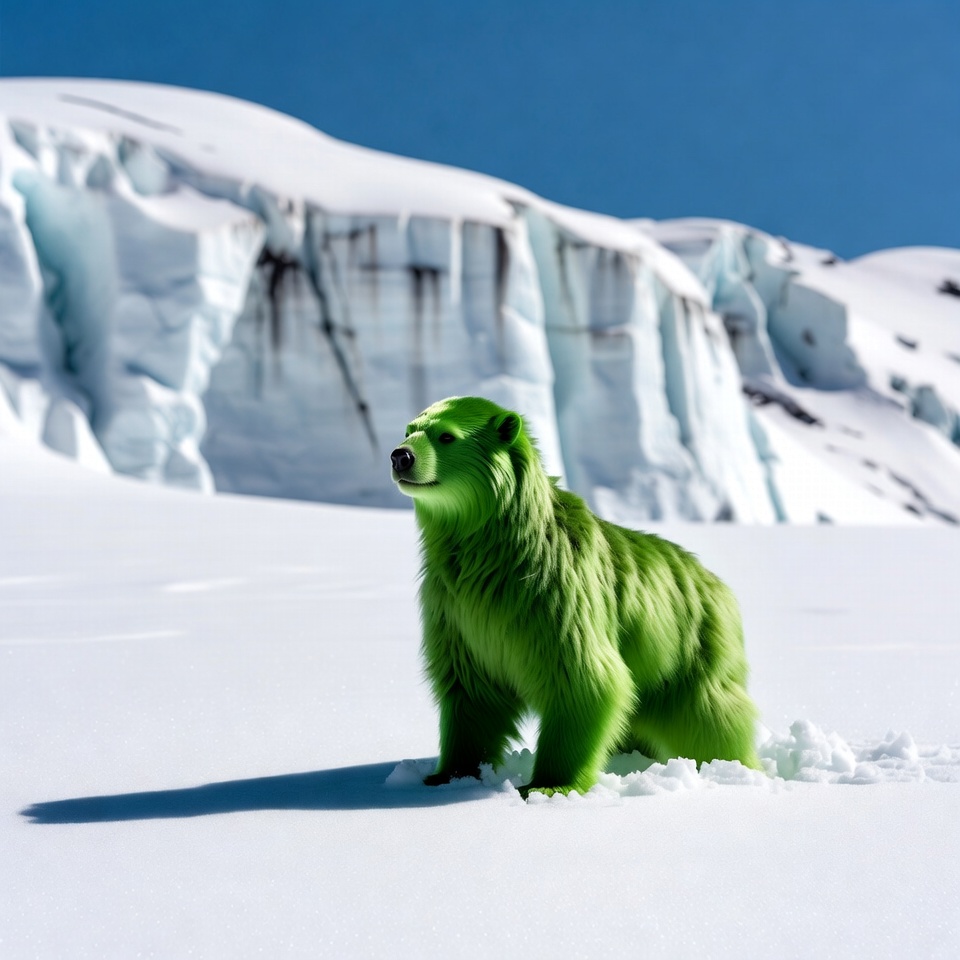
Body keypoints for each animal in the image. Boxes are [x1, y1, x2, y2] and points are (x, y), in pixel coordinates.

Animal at [390, 396, 761, 797]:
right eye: (410, 429)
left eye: (447, 436)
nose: (401, 456)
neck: (499, 552)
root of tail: (719, 586)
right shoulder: (456, 614)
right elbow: (471, 696)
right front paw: (449, 774)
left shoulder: (556, 596)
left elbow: (586, 681)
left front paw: (547, 785)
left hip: (690, 649)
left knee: (710, 713)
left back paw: (735, 768)